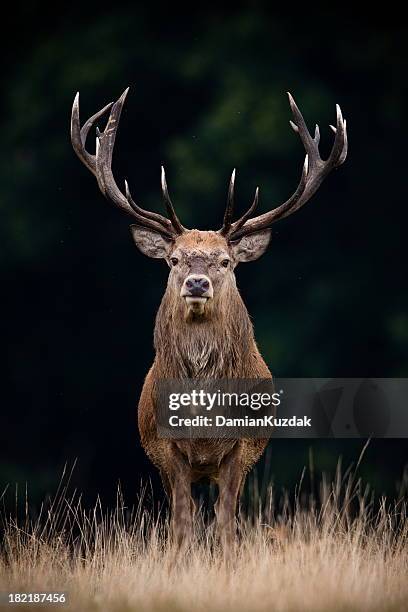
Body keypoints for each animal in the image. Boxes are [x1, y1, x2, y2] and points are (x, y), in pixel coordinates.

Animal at [70, 88, 348, 548]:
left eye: (225, 261)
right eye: (173, 259)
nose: (197, 283)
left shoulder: (242, 449)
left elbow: (225, 524)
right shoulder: (167, 451)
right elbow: (182, 524)